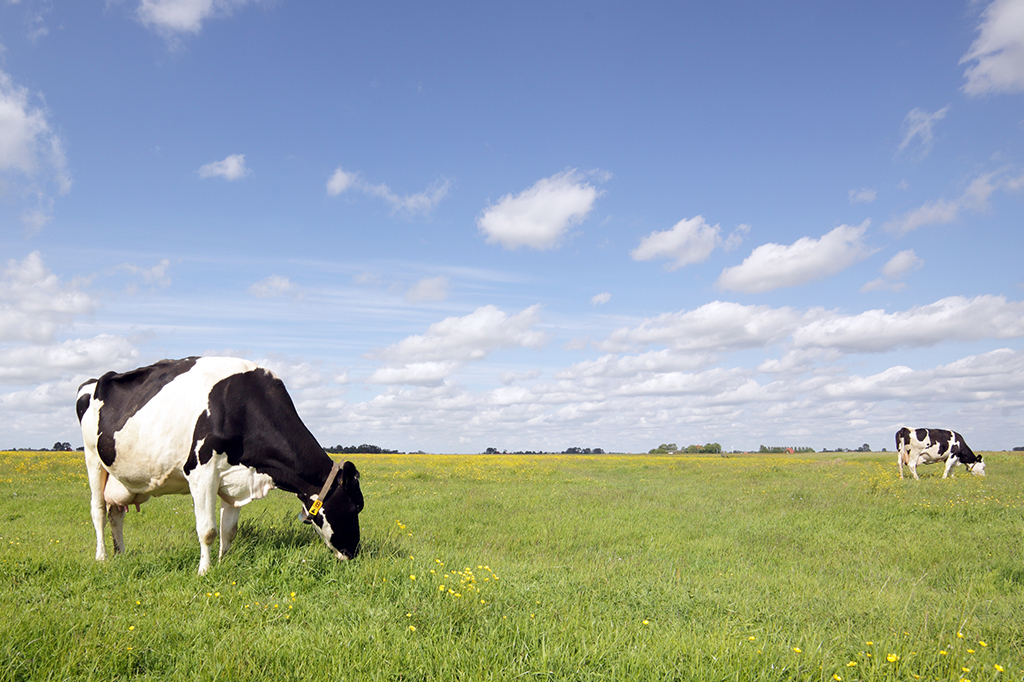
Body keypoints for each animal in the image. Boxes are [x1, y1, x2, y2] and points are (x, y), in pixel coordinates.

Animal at [76, 356, 363, 575]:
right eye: (355, 507)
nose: (354, 553)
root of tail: (94, 381)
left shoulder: (236, 479)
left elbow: (229, 529)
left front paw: (224, 561)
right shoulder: (201, 472)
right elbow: (208, 530)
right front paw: (204, 571)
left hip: (119, 477)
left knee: (116, 513)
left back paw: (121, 554)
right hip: (93, 458)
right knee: (98, 510)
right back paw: (102, 557)